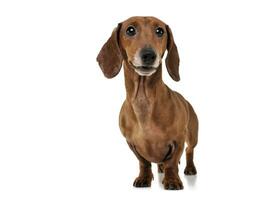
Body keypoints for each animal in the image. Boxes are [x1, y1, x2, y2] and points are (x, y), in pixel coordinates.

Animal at [97, 16, 198, 190]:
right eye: (130, 30)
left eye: (160, 31)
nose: (149, 55)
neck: (144, 100)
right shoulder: (132, 143)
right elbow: (143, 162)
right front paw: (144, 178)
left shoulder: (178, 140)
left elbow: (172, 162)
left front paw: (172, 180)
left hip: (192, 136)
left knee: (189, 151)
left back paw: (189, 168)